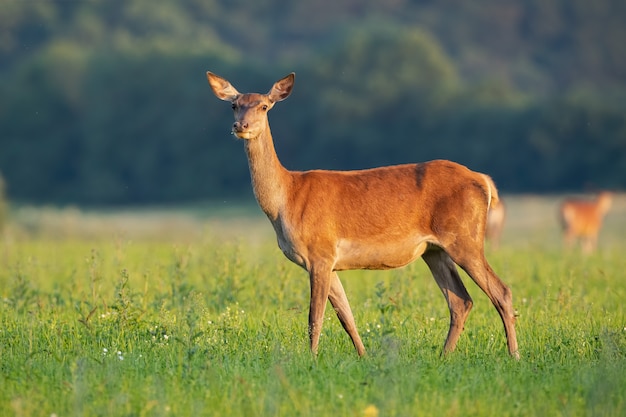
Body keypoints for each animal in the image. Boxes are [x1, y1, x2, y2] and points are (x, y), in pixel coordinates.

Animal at [205, 70, 516, 358]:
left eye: (264, 106)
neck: (287, 200)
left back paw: (513, 355)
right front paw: (363, 356)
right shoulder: (328, 262)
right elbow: (346, 316)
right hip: (434, 250)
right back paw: (444, 357)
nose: (241, 125)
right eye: (234, 105)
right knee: (460, 301)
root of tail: (484, 181)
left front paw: (311, 359)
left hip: (464, 238)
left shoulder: (320, 252)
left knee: (500, 291)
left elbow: (315, 317)